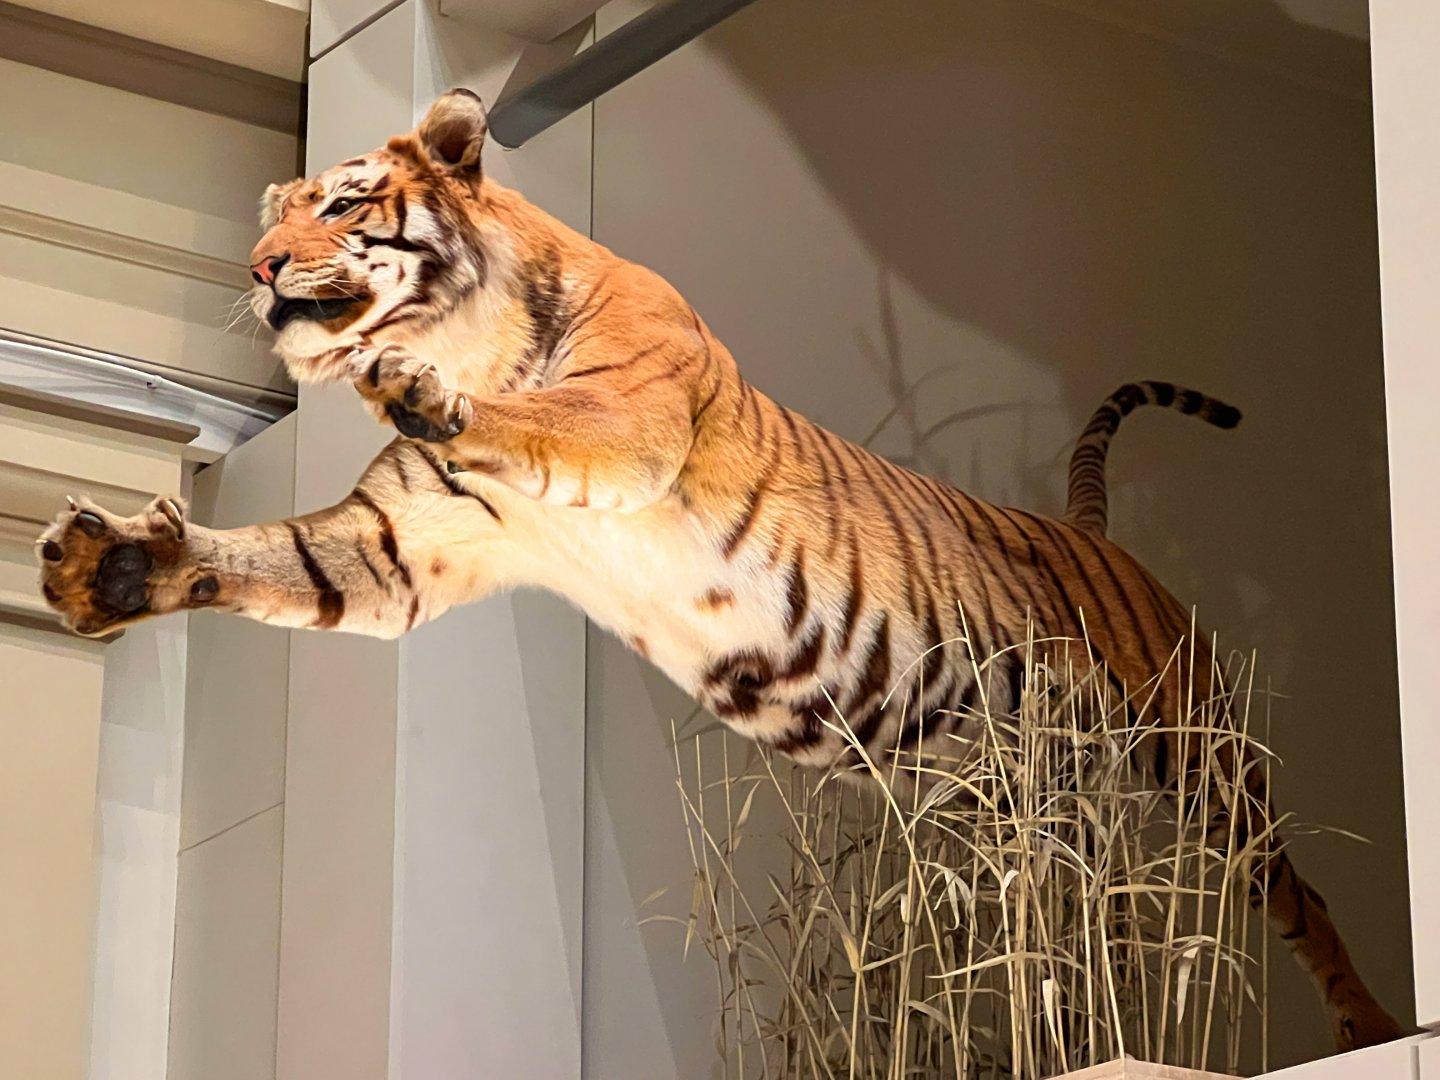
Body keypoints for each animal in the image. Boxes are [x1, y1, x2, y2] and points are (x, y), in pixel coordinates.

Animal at [37, 88, 1402, 1053]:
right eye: (274, 217)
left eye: (337, 207)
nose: (259, 270)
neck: (460, 323)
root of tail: (1105, 539)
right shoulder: (399, 545)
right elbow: (278, 559)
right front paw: (111, 568)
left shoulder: (628, 417)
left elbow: (533, 415)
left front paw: (420, 390)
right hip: (1023, 797)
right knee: (1081, 914)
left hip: (1197, 754)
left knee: (1299, 891)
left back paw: (1368, 1024)